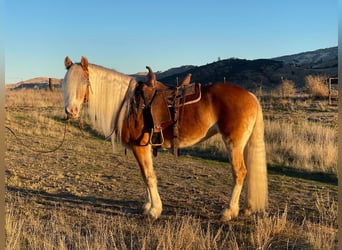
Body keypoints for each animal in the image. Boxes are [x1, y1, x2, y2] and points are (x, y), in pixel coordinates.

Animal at [62, 55, 268, 222]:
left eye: (84, 82)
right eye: (65, 83)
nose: (71, 111)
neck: (129, 104)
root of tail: (251, 96)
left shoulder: (140, 147)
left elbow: (149, 176)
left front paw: (154, 211)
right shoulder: (144, 147)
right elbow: (145, 175)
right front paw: (148, 206)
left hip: (234, 144)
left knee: (239, 173)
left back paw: (229, 211)